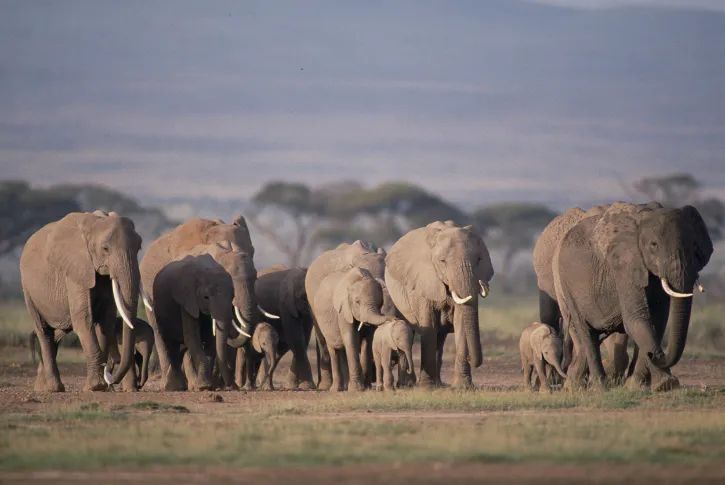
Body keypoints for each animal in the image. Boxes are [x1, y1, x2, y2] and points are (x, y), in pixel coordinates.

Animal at [20, 211, 141, 392]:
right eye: (105, 249)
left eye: (139, 247)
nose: (111, 377)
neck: (96, 222)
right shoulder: (76, 270)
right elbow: (84, 321)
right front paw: (96, 387)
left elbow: (106, 321)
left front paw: (101, 387)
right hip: (28, 290)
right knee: (44, 331)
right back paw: (54, 388)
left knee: (59, 332)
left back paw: (42, 387)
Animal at [151, 254, 235, 391]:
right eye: (206, 297)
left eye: (233, 297)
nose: (230, 387)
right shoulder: (187, 300)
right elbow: (192, 338)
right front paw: (204, 386)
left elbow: (211, 340)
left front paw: (206, 386)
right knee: (169, 343)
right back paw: (175, 387)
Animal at [305, 240, 386, 390]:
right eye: (357, 302)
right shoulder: (343, 309)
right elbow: (350, 338)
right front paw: (358, 388)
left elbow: (367, 341)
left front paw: (365, 387)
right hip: (312, 302)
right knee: (325, 342)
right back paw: (328, 387)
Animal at [385, 221, 494, 389]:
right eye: (442, 262)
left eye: (478, 260)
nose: (472, 359)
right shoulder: (423, 281)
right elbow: (428, 325)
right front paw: (426, 387)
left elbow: (461, 322)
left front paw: (463, 387)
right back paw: (408, 385)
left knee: (440, 339)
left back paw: (439, 384)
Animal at [551, 202, 713, 390]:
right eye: (654, 245)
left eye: (695, 247)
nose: (654, 354)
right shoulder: (625, 265)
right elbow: (636, 319)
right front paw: (664, 384)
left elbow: (658, 319)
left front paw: (648, 384)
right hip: (566, 285)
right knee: (586, 332)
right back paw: (599, 387)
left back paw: (575, 385)